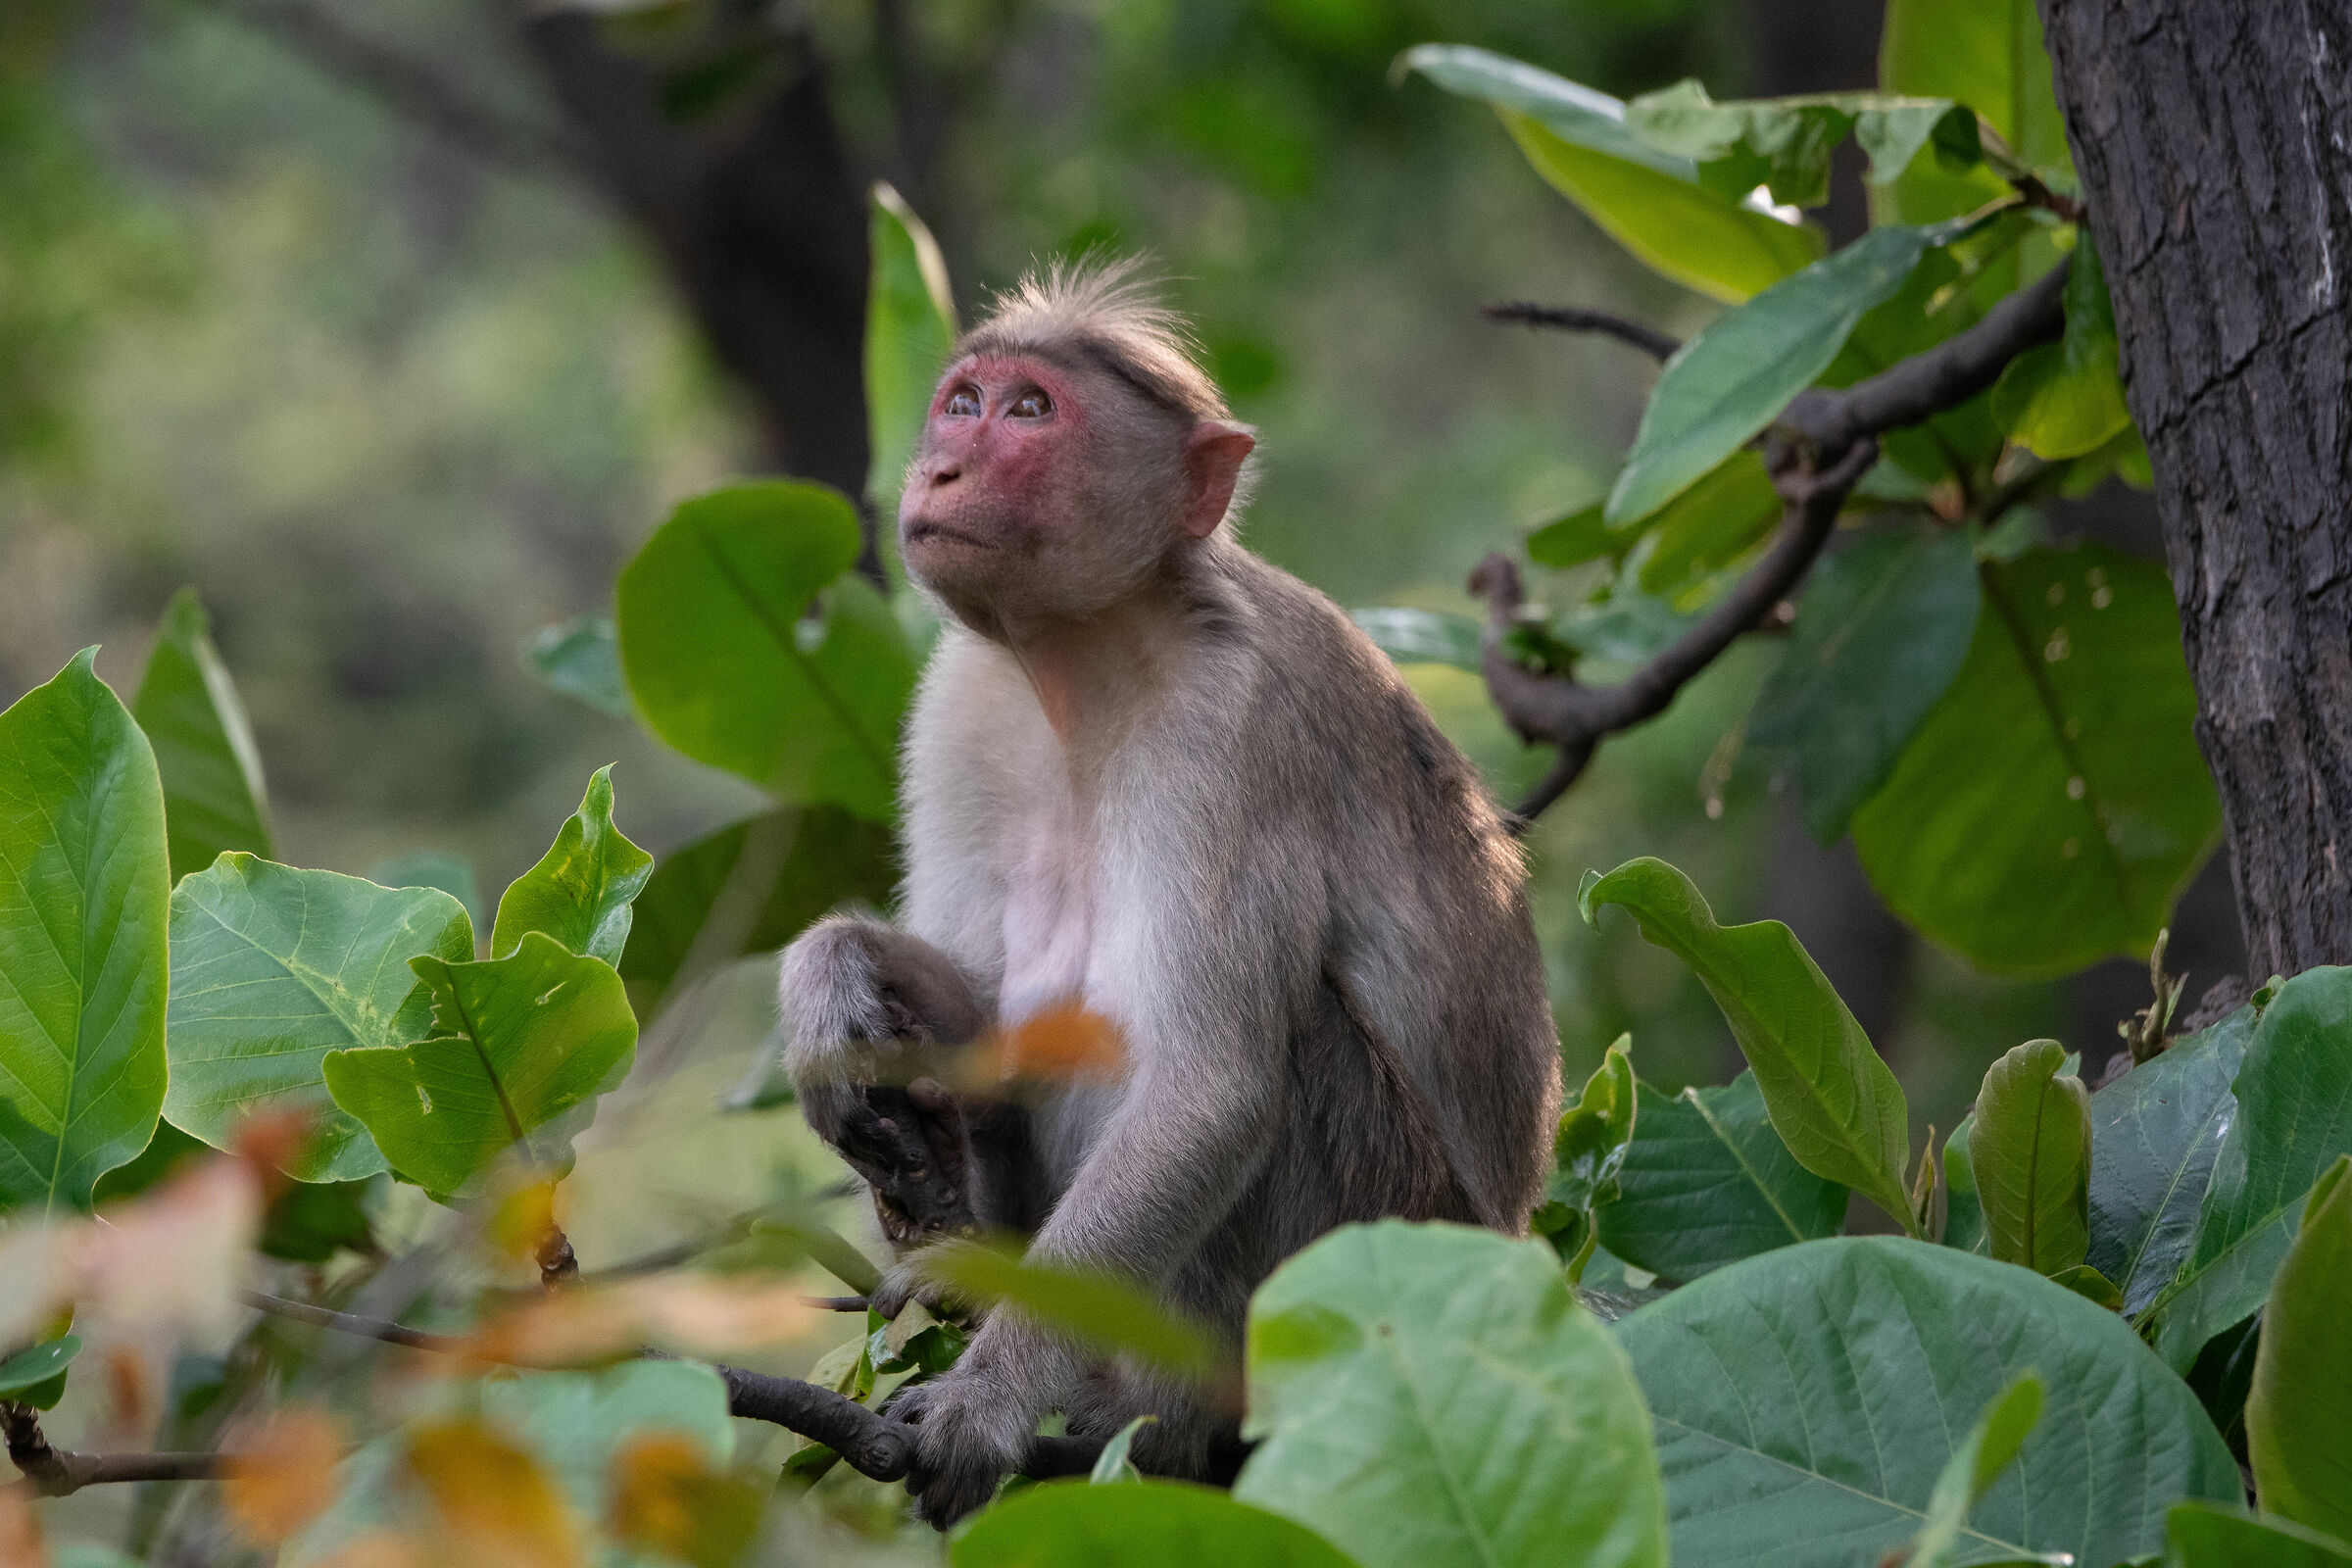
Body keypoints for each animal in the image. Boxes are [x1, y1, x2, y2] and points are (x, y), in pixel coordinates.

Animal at [779, 260, 1561, 1527]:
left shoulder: (1227, 731)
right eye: (962, 403)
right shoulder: (959, 696)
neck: (1084, 654)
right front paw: (836, 988)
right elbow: (986, 1003)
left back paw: (1156, 1412)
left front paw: (984, 1400)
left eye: (1030, 412)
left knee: (1270, 1055)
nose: (939, 469)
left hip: (1364, 1241)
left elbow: (1210, 1090)